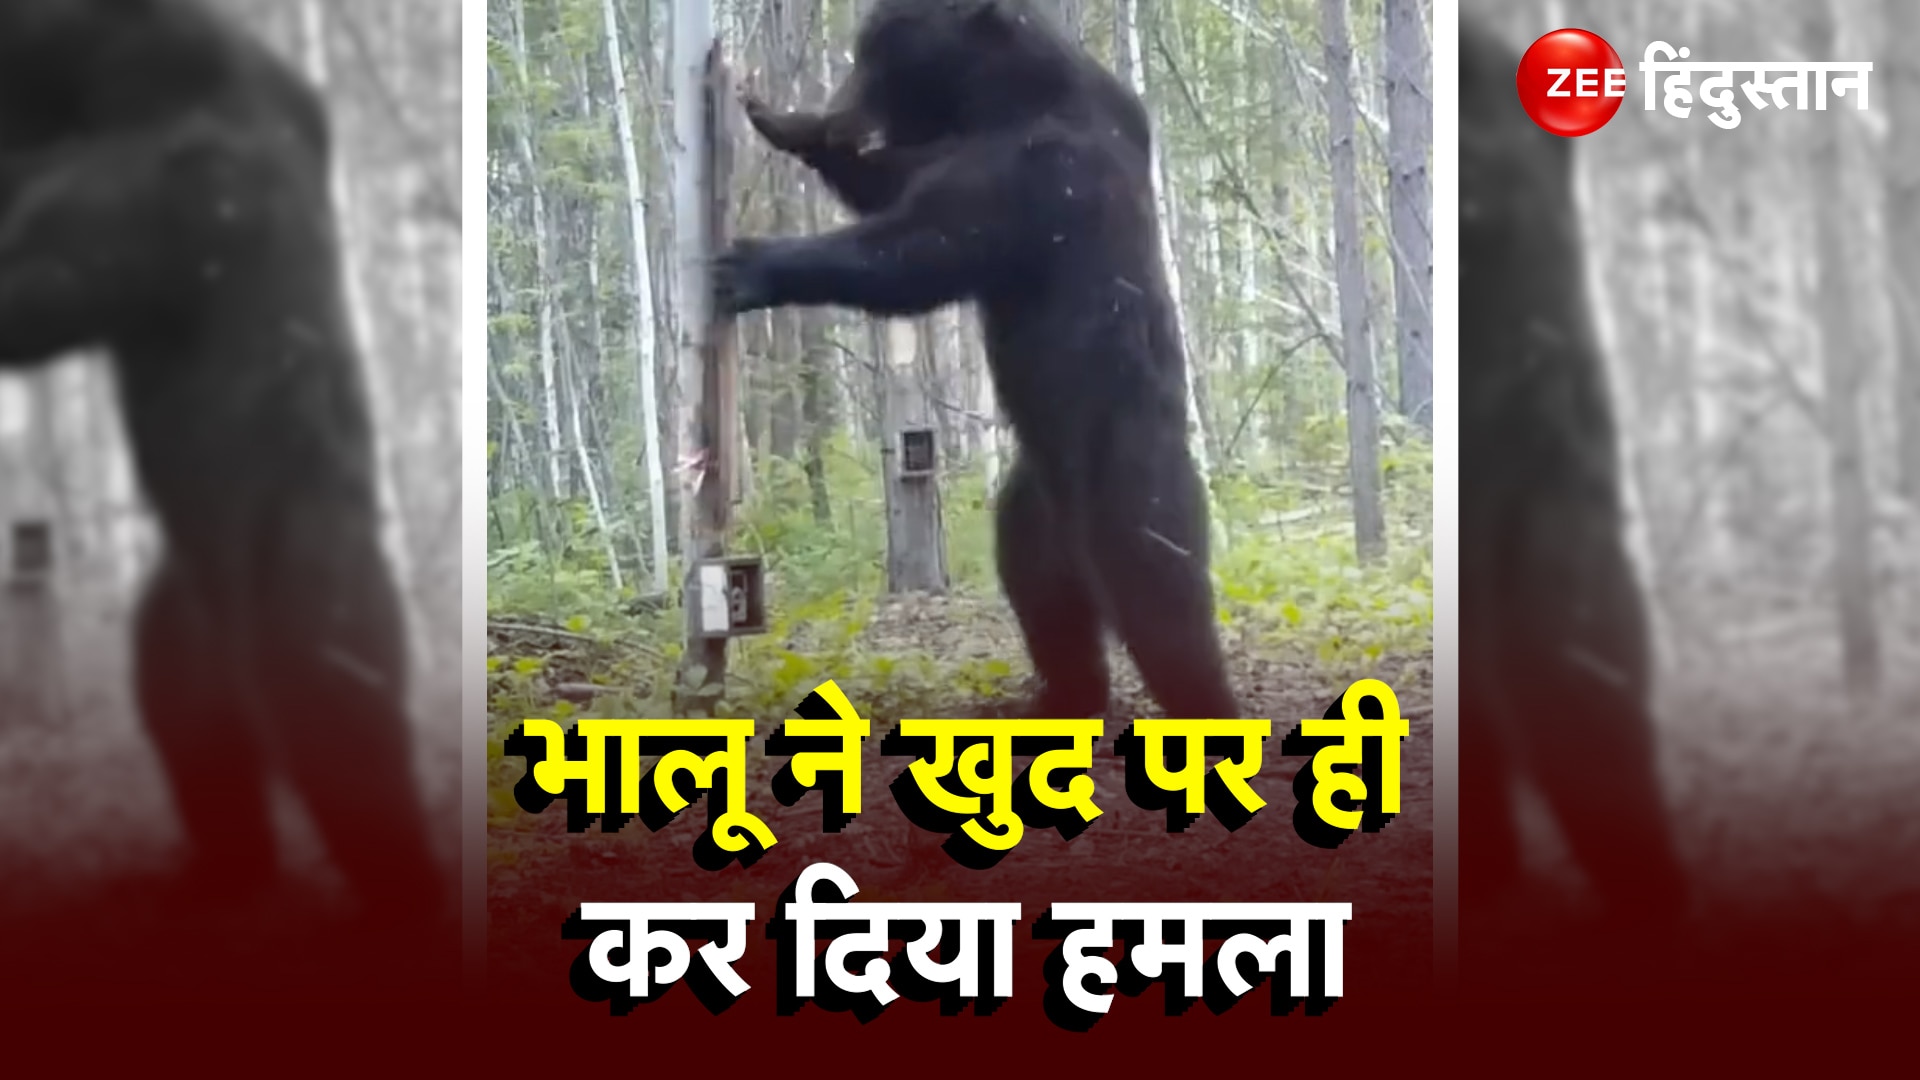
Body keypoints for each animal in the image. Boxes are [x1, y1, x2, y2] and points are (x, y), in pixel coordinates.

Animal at [0, 0, 445, 944]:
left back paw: (404, 903)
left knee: (349, 743)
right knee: (199, 748)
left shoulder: (174, 186)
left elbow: (37, 278)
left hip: (306, 588)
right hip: (177, 632)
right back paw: (211, 876)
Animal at [720, 0, 1239, 725]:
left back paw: (1206, 704)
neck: (1005, 100)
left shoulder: (1040, 175)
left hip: (1132, 489)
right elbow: (895, 185)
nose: (847, 114)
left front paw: (749, 264)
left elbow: (918, 247)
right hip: (1029, 513)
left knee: (1165, 605)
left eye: (875, 51)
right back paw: (1058, 698)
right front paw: (778, 113)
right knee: (1046, 605)